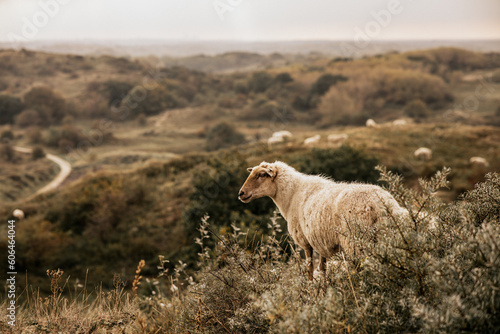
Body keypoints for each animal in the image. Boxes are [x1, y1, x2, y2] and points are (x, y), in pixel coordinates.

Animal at [238, 162, 406, 280]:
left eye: (261, 175)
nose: (241, 193)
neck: (291, 195)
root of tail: (382, 203)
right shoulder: (321, 241)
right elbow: (323, 268)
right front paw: (323, 291)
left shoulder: (305, 241)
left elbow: (310, 269)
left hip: (356, 240)